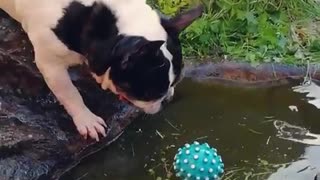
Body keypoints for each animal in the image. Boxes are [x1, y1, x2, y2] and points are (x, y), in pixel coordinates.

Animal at [0, 0, 204, 141]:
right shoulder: (51, 63)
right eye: (151, 93)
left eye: (175, 82)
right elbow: (70, 93)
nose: (167, 99)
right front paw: (86, 120)